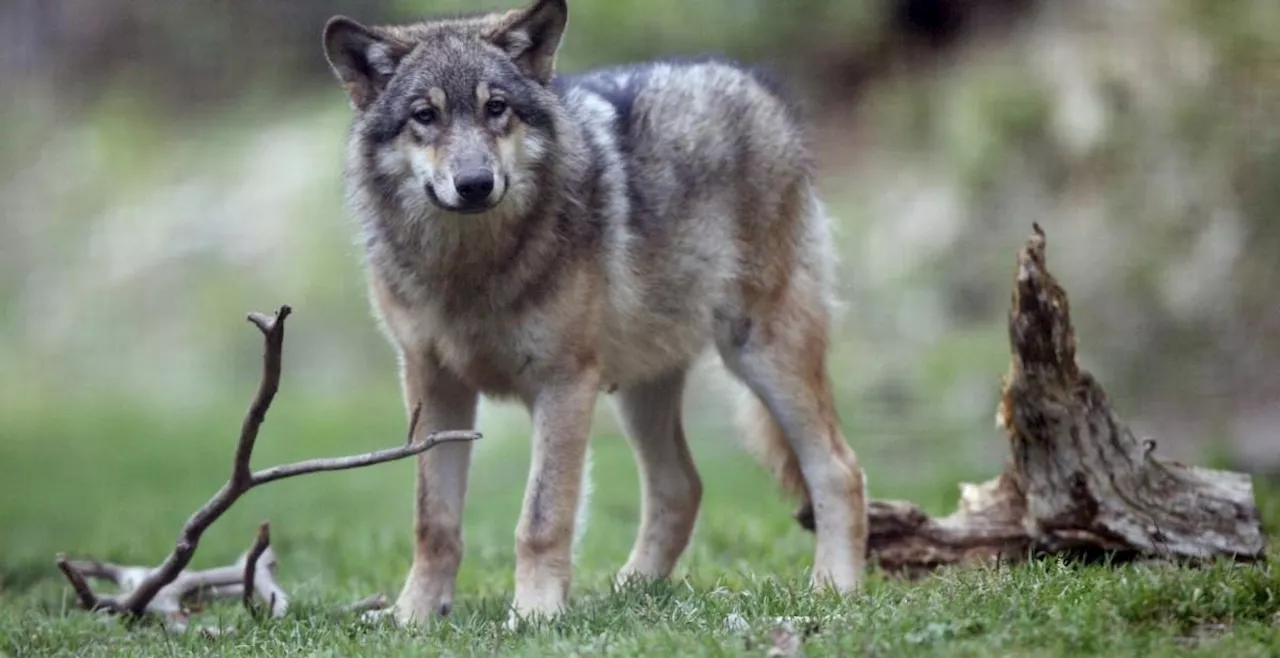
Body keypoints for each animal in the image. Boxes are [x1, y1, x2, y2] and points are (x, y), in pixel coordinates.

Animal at [320, 0, 870, 624]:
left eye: (496, 108)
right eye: (424, 116)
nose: (476, 183)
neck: (471, 268)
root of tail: (753, 80)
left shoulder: (564, 384)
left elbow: (541, 518)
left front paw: (534, 615)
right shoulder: (433, 385)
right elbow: (432, 520)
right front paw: (413, 617)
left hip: (761, 355)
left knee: (839, 469)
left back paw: (834, 588)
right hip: (641, 387)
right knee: (682, 486)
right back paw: (628, 592)